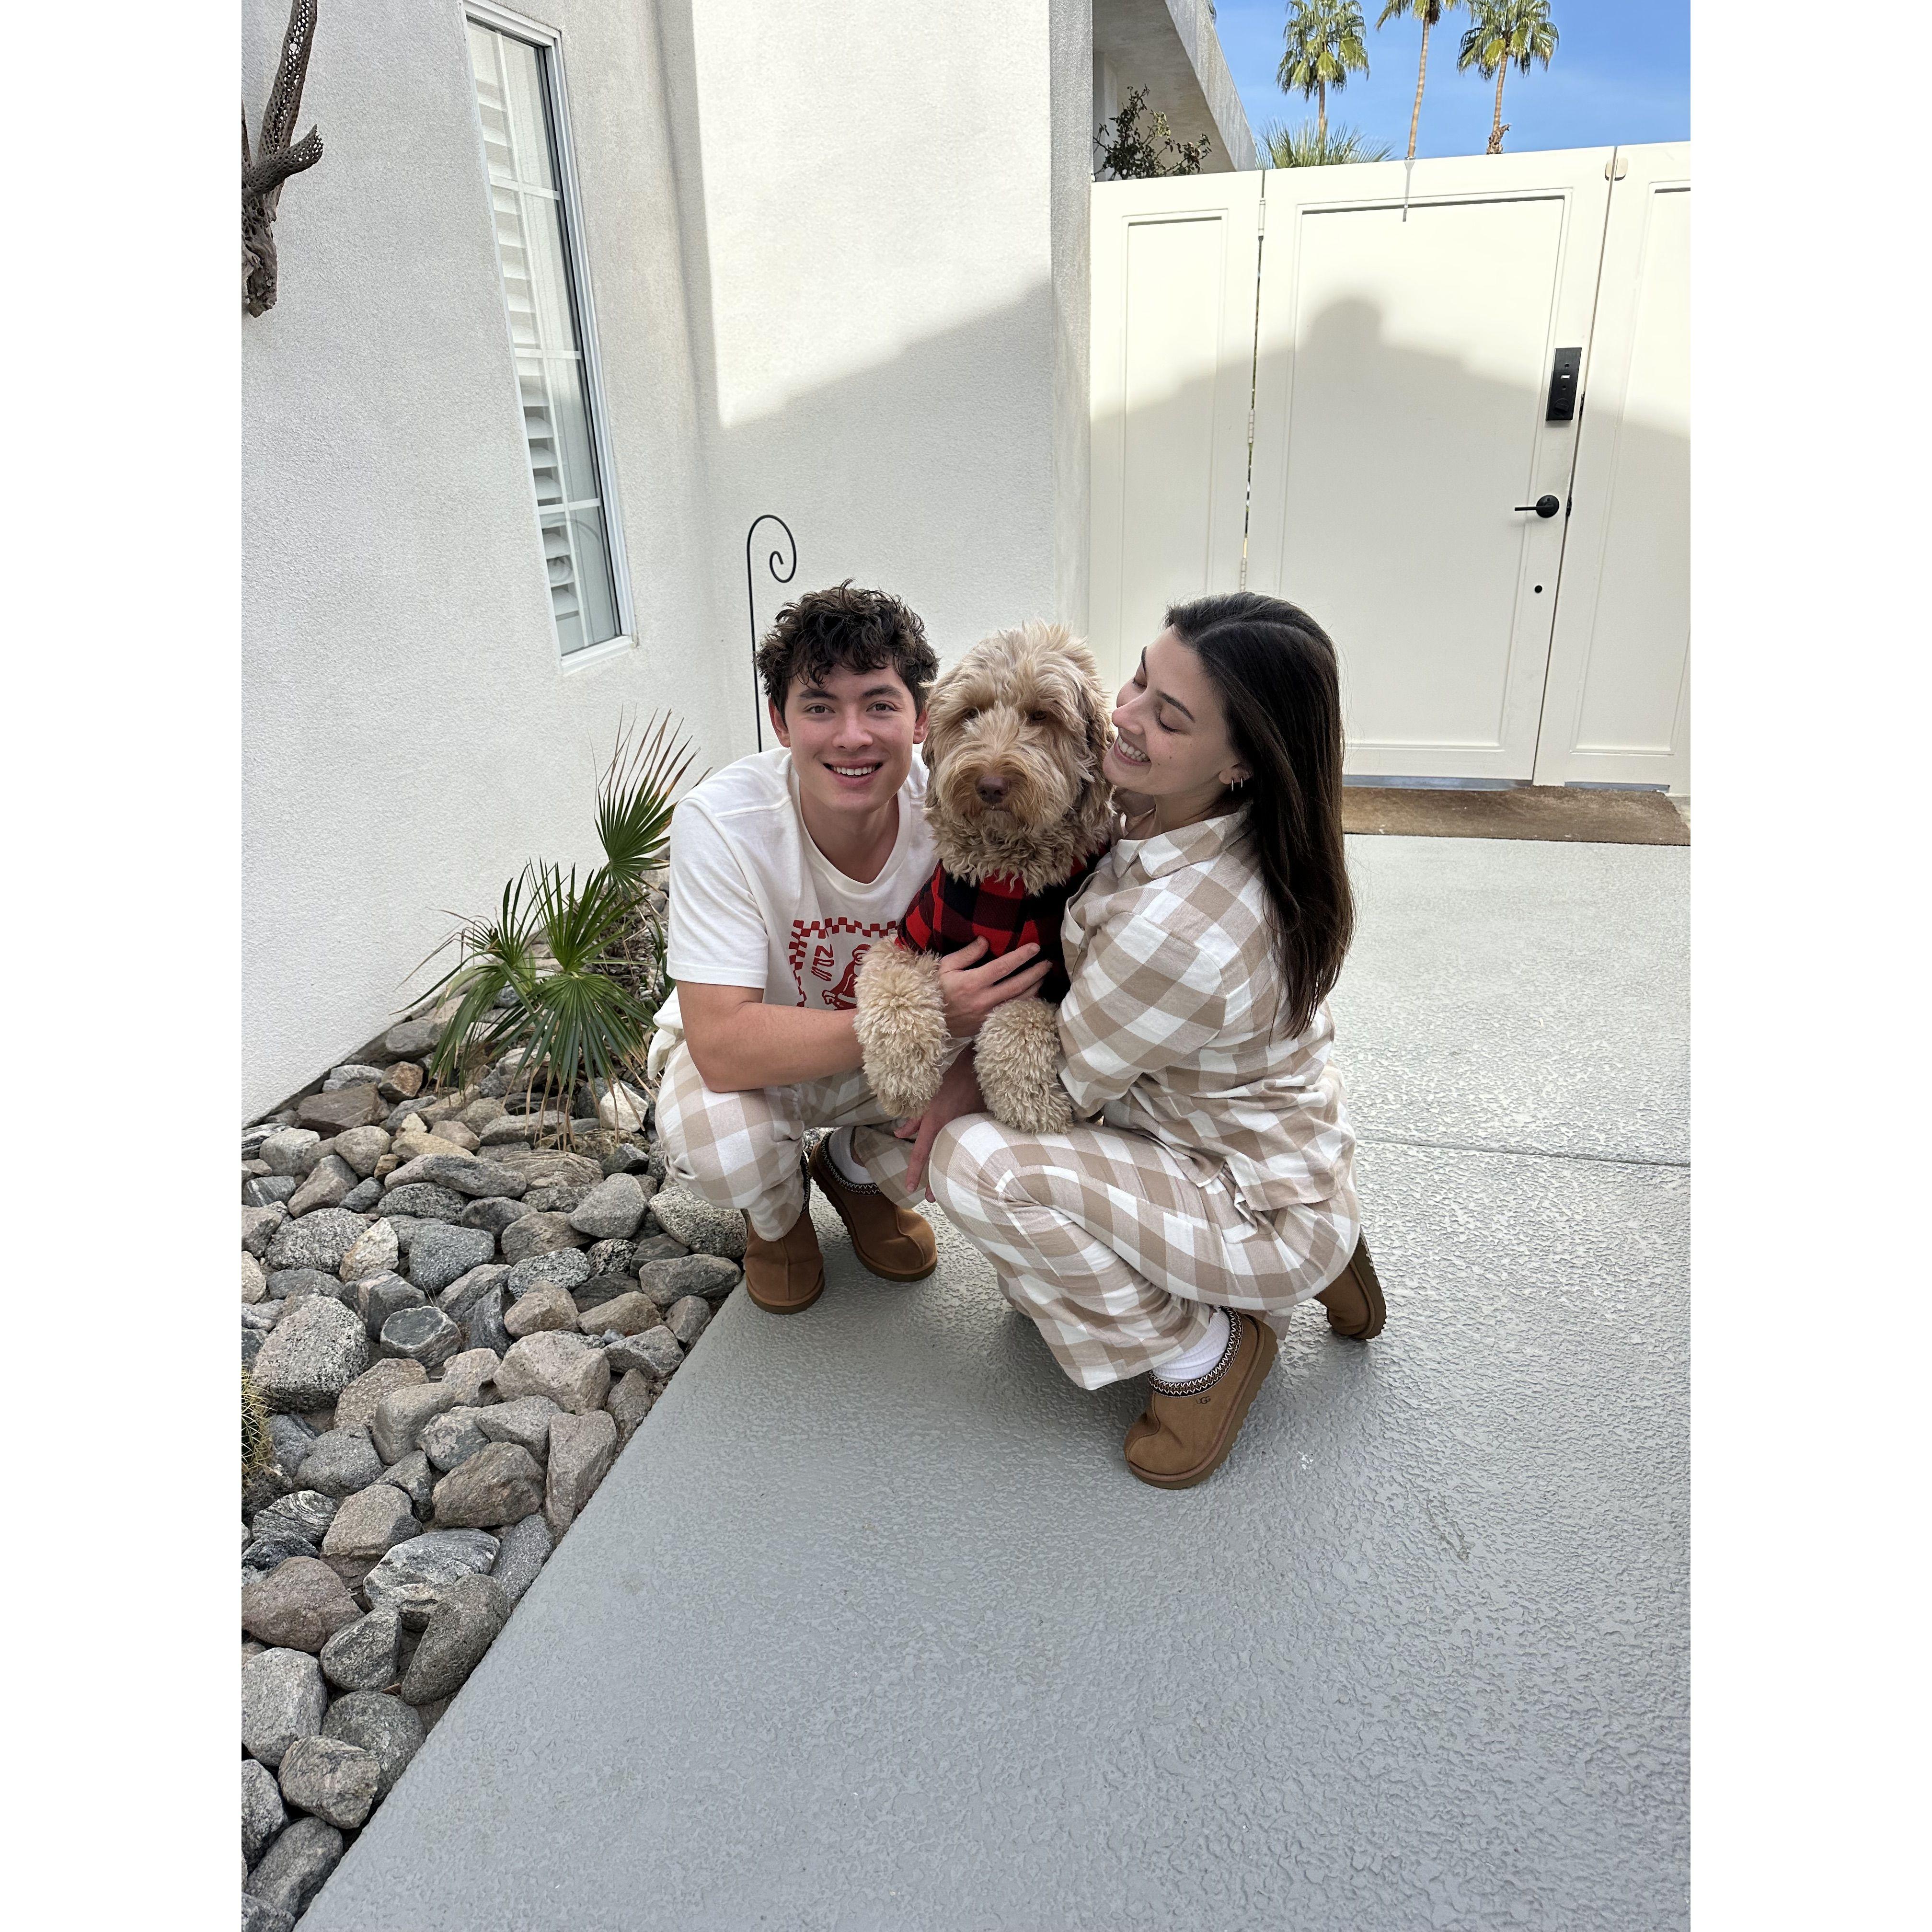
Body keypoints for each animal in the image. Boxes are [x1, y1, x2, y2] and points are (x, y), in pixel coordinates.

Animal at [854, 620, 1113, 1134]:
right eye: (970, 713)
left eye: (1041, 715)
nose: (990, 785)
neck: (1003, 874)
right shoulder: (908, 940)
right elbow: (893, 994)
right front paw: (903, 1083)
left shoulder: (1050, 975)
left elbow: (1016, 1025)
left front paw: (1031, 1103)